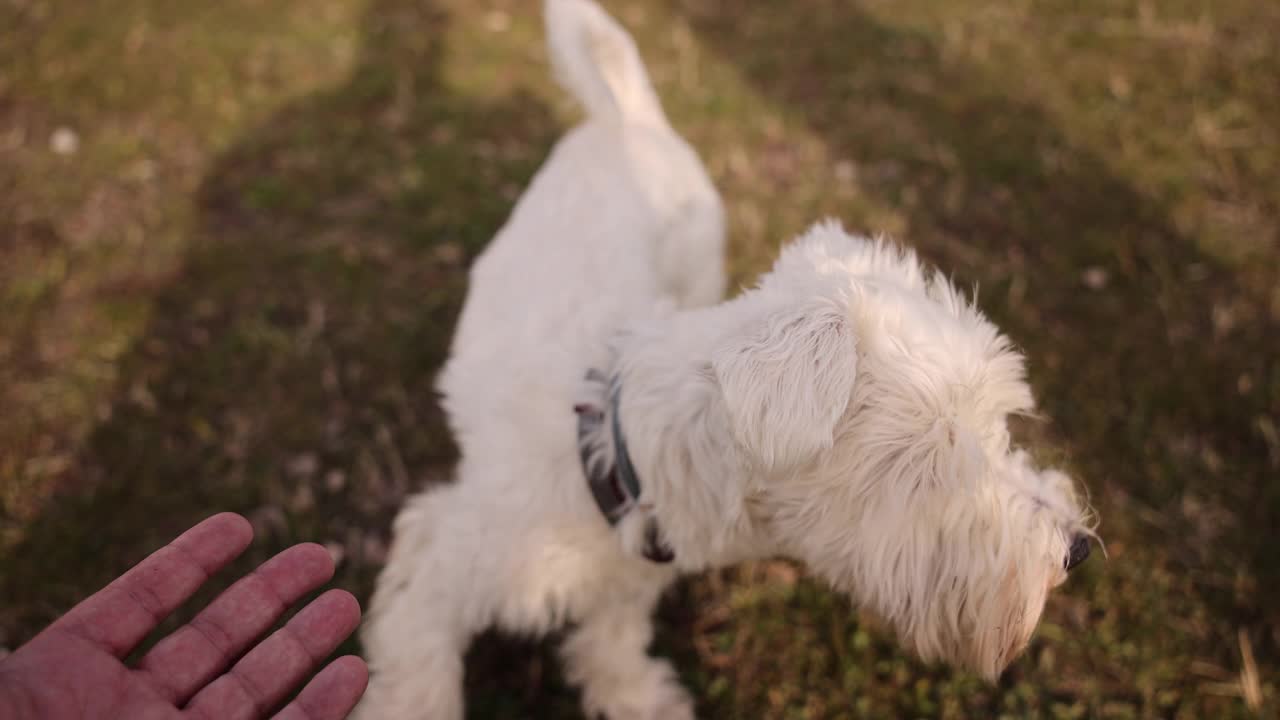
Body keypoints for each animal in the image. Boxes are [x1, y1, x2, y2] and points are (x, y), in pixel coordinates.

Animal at [355, 1, 1095, 717]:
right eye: (935, 458)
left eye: (999, 425)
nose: (1078, 548)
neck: (619, 463)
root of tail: (629, 117)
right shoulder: (442, 560)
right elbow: (418, 675)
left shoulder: (633, 570)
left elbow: (615, 631)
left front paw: (632, 695)